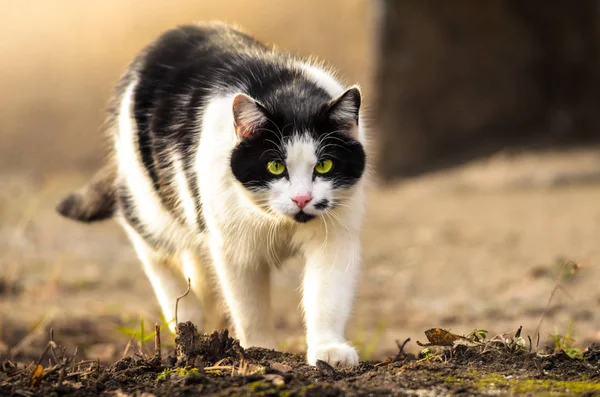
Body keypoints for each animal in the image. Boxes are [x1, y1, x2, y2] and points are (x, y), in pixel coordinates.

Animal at [57, 21, 366, 366]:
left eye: (324, 165)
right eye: (275, 166)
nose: (302, 199)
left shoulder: (334, 237)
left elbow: (327, 295)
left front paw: (330, 350)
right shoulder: (235, 250)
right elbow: (249, 309)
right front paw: (260, 351)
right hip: (147, 200)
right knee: (149, 246)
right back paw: (183, 319)